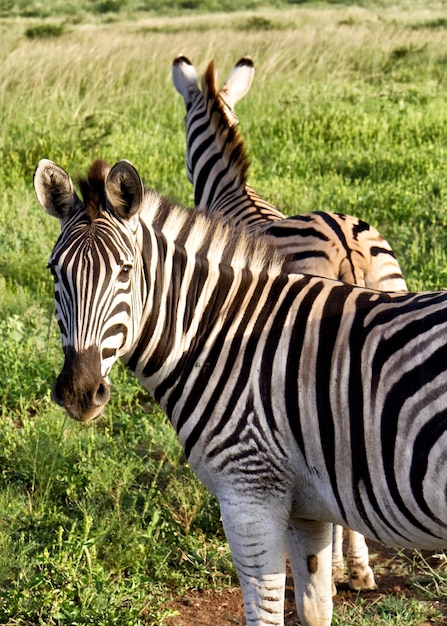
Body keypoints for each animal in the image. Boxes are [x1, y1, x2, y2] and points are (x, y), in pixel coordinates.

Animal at [34, 156, 447, 624]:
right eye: (54, 271)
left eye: (125, 271)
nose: (80, 391)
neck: (225, 337)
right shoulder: (309, 508)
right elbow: (315, 607)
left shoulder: (250, 495)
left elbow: (264, 614)